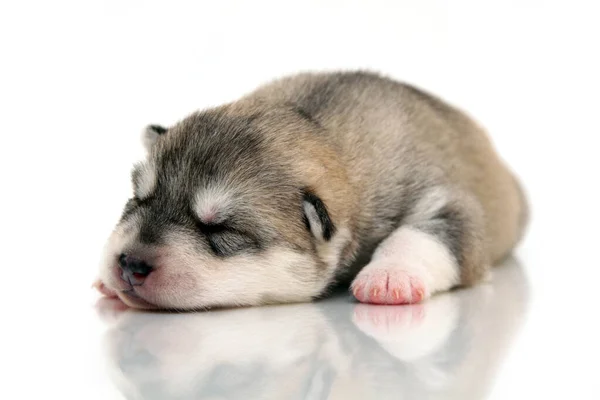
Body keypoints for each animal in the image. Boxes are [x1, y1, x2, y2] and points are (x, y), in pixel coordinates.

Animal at [95, 71, 528, 310]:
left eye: (221, 229)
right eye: (138, 199)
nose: (129, 263)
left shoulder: (444, 199)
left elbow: (427, 234)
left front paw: (390, 275)